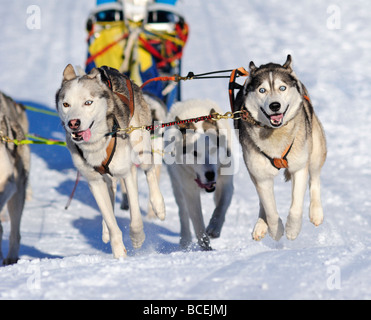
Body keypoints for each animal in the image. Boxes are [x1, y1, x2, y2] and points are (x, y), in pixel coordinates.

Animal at [55, 64, 166, 258]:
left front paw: (137, 238)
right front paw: (119, 252)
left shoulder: (127, 172)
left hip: (141, 149)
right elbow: (111, 220)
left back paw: (158, 206)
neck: (97, 144)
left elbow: (135, 216)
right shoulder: (95, 182)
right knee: (112, 190)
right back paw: (105, 229)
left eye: (88, 102)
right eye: (66, 104)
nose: (73, 123)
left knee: (150, 171)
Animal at [166, 100, 234, 250]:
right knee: (183, 213)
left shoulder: (226, 183)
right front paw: (205, 247)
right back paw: (185, 240)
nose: (210, 175)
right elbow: (197, 222)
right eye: (195, 153)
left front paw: (214, 227)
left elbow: (221, 206)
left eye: (213, 150)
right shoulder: (190, 191)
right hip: (177, 186)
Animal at [237, 55, 326, 240]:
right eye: (262, 90)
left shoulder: (299, 168)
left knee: (314, 179)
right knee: (262, 201)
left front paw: (292, 229)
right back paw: (261, 224)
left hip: (315, 150)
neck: (275, 134)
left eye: (282, 88)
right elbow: (270, 210)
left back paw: (316, 212)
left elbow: (296, 207)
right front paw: (275, 230)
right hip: (253, 171)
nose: (275, 105)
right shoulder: (261, 176)